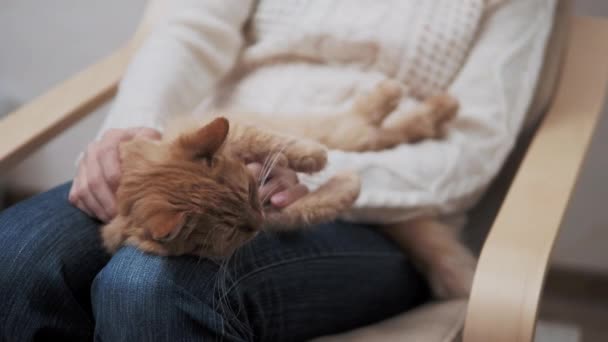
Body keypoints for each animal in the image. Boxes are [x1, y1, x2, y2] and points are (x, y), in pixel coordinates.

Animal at [102, 81, 478, 300]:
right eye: (235, 232)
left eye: (251, 191)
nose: (255, 220)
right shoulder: (277, 215)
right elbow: (310, 208)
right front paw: (346, 184)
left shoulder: (232, 134)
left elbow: (260, 139)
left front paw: (311, 156)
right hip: (354, 135)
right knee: (385, 131)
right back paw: (434, 109)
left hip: (337, 130)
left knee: (368, 124)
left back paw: (407, 97)